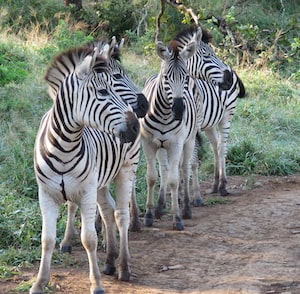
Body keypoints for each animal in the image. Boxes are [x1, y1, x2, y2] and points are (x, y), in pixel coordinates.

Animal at [29, 43, 140, 294]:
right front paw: (39, 283)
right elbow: (46, 239)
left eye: (114, 85)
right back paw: (110, 262)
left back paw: (124, 266)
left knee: (121, 215)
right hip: (101, 181)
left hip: (126, 169)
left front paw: (96, 284)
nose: (135, 127)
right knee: (108, 211)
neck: (63, 146)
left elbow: (89, 238)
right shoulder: (46, 194)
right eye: (103, 92)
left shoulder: (86, 191)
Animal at [141, 38, 204, 230]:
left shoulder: (176, 143)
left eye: (186, 77)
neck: (163, 114)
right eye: (166, 77)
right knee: (165, 169)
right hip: (162, 145)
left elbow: (174, 180)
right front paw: (149, 214)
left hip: (189, 140)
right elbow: (152, 177)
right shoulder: (148, 143)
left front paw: (177, 217)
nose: (178, 110)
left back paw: (187, 207)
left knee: (185, 168)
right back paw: (160, 207)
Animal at [173, 24, 246, 195]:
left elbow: (188, 159)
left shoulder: (191, 129)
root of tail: (231, 68)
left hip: (227, 116)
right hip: (210, 123)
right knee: (215, 147)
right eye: (207, 56)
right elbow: (179, 159)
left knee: (221, 147)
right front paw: (179, 190)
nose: (228, 78)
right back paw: (215, 184)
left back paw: (223, 186)